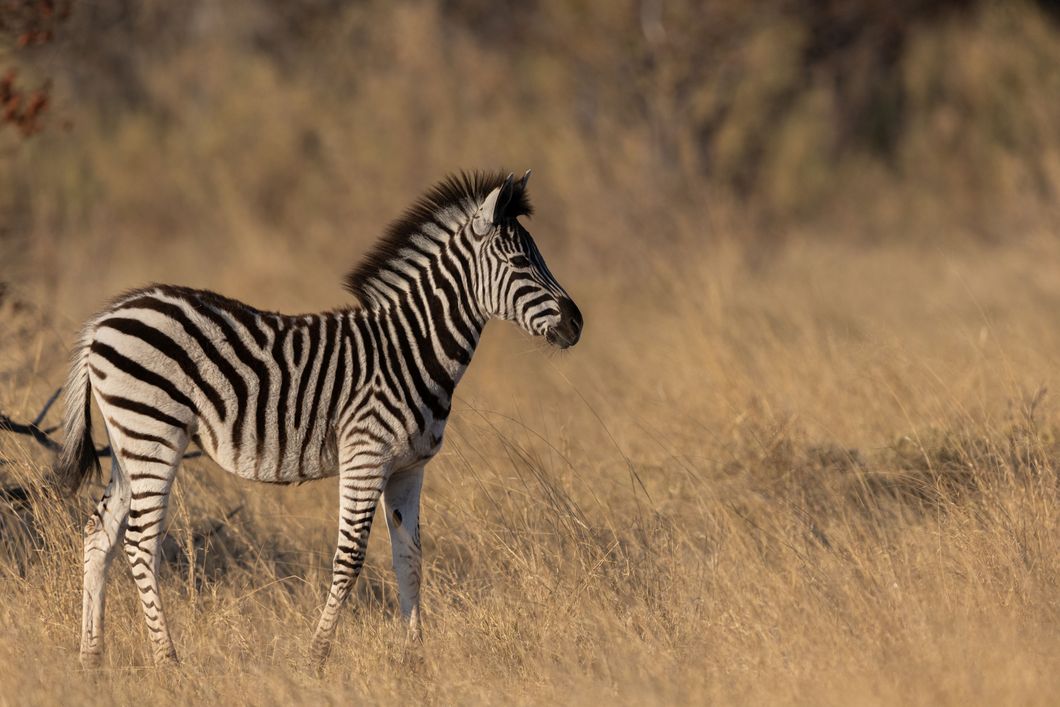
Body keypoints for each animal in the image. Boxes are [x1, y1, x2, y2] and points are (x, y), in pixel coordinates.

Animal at [54, 170, 583, 669]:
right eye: (520, 263)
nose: (577, 324)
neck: (410, 351)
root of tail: (105, 319)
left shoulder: (409, 469)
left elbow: (409, 559)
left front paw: (415, 660)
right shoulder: (366, 456)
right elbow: (349, 560)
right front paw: (317, 657)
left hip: (129, 441)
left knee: (99, 534)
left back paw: (91, 658)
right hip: (154, 433)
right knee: (140, 543)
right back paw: (168, 661)